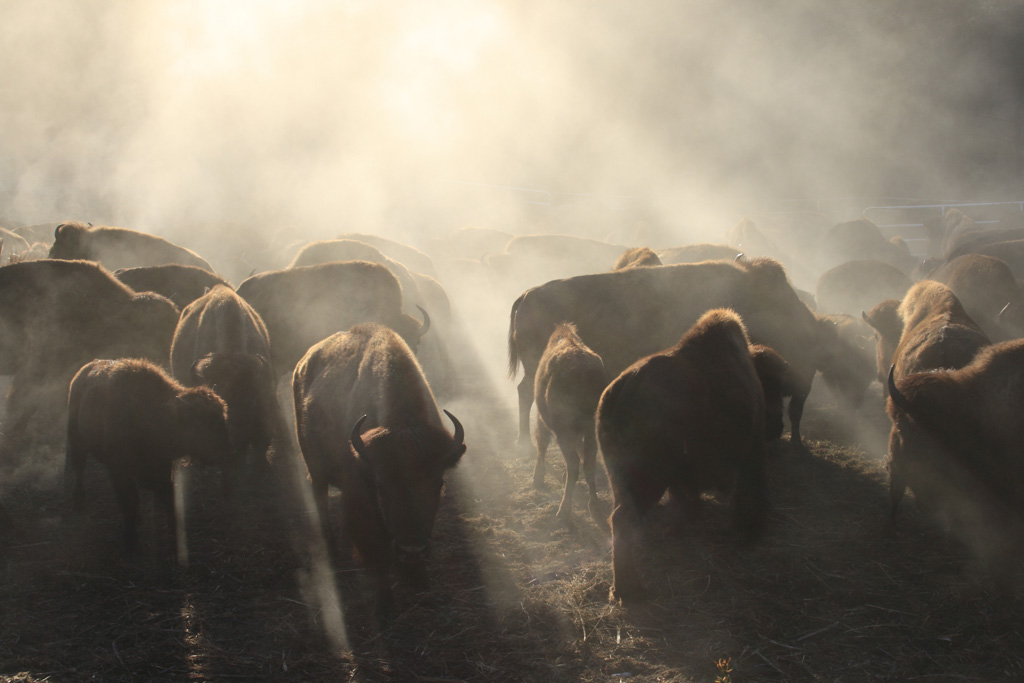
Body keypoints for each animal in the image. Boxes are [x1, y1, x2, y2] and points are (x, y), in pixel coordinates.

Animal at [65, 358, 231, 560]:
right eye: (204, 424)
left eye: (223, 417)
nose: (227, 452)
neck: (155, 413)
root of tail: (81, 374)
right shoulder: (120, 471)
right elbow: (130, 502)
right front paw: (130, 541)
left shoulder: (162, 469)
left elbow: (169, 499)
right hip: (76, 441)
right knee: (78, 468)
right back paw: (79, 502)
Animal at [293, 323, 466, 614]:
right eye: (380, 485)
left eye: (439, 482)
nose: (411, 549)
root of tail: (302, 363)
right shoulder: (363, 496)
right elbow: (378, 548)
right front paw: (385, 604)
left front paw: (417, 579)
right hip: (315, 468)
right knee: (321, 498)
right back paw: (332, 549)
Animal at [598, 309, 770, 602]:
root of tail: (626, 386)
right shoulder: (750, 453)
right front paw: (749, 530)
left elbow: (683, 499)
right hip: (649, 478)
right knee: (623, 521)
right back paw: (630, 589)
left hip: (621, 477)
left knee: (618, 519)